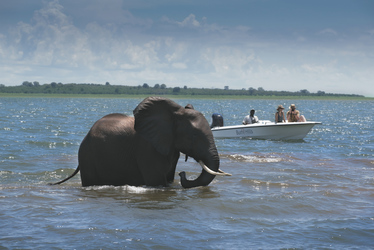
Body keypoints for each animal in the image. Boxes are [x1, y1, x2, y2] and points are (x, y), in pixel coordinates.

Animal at [49, 96, 231, 188]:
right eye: (193, 136)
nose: (183, 174)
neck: (173, 114)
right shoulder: (146, 149)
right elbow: (157, 182)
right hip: (88, 157)